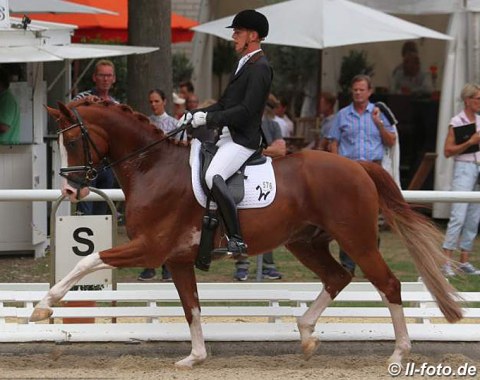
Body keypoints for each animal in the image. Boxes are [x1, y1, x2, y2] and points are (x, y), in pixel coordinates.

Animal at [31, 100, 462, 368]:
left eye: (73, 141)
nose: (71, 192)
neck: (151, 167)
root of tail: (357, 165)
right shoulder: (177, 258)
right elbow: (191, 308)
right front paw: (195, 357)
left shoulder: (150, 249)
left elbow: (88, 259)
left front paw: (43, 306)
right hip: (305, 242)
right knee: (339, 277)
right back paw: (306, 335)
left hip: (356, 239)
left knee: (388, 284)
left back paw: (398, 354)